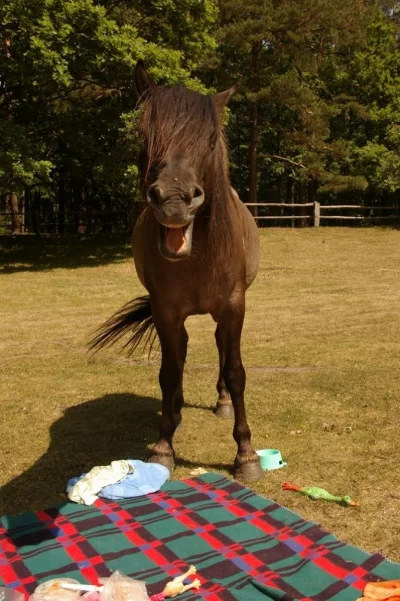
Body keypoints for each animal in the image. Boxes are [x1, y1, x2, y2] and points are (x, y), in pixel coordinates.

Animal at [92, 61, 264, 480]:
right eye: (144, 133)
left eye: (211, 139)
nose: (173, 201)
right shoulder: (165, 310)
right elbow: (169, 371)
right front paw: (163, 447)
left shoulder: (234, 306)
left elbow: (236, 371)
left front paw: (246, 455)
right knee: (182, 352)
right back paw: (178, 408)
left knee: (220, 349)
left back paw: (222, 403)